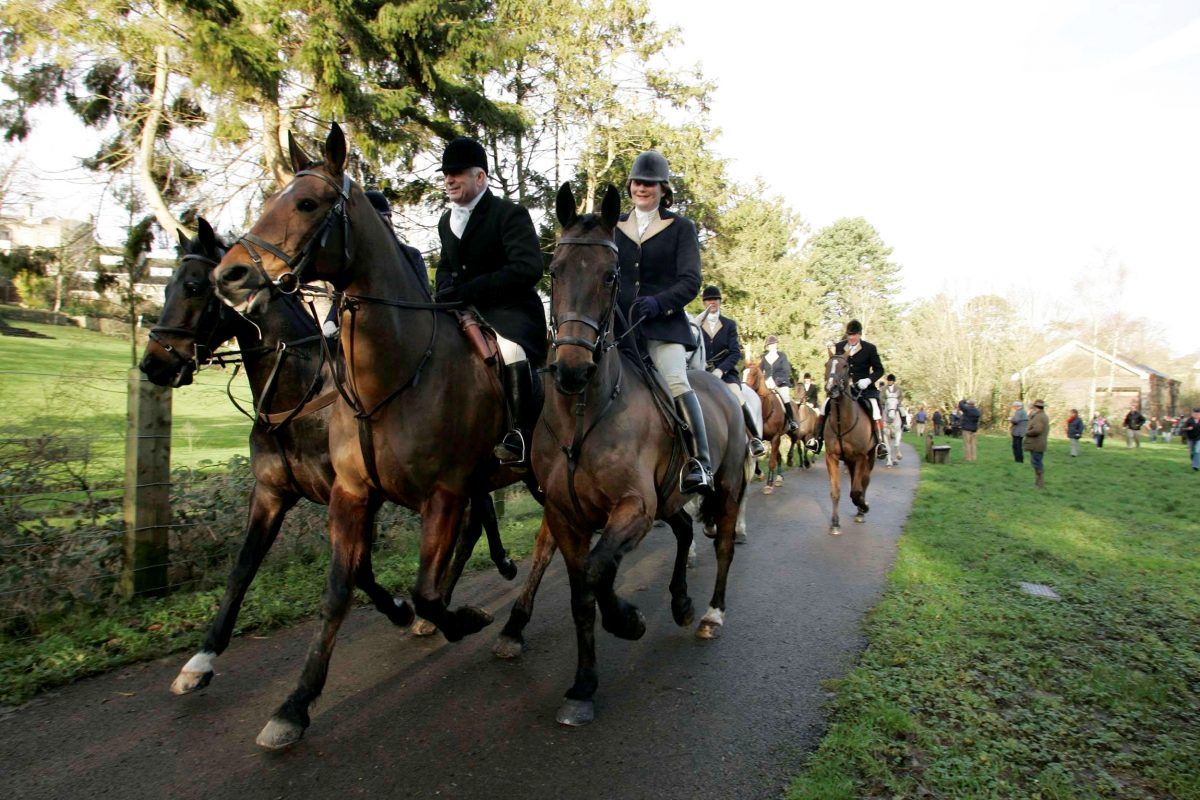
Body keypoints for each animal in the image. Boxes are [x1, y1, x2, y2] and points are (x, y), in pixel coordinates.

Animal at [140, 217, 516, 695]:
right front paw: (201, 659)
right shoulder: (272, 492)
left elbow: (359, 568)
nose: (152, 364)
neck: (300, 393)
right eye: (167, 285)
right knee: (476, 519)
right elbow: (243, 567)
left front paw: (399, 608)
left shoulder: (358, 492)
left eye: (192, 287)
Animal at [211, 123, 535, 753]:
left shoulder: (443, 492)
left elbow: (425, 586)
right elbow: (339, 589)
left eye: (308, 204)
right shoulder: (353, 494)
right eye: (272, 200)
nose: (229, 275)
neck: (396, 370)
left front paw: (464, 619)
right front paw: (295, 704)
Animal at [537, 184, 748, 729]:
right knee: (685, 529)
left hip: (726, 487)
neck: (583, 414)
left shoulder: (633, 507)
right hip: (670, 498)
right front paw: (583, 687)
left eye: (611, 275)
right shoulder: (565, 517)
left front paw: (629, 621)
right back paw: (681, 603)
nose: (571, 369)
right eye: (555, 271)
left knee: (722, 547)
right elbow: (581, 593)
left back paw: (710, 614)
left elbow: (597, 572)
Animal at [820, 352, 878, 534]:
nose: (831, 388)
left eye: (845, 366)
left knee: (864, 483)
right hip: (850, 461)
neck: (842, 421)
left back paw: (861, 511)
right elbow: (836, 491)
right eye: (827, 365)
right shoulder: (831, 457)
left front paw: (863, 507)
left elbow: (856, 491)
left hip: (869, 457)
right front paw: (835, 523)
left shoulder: (861, 457)